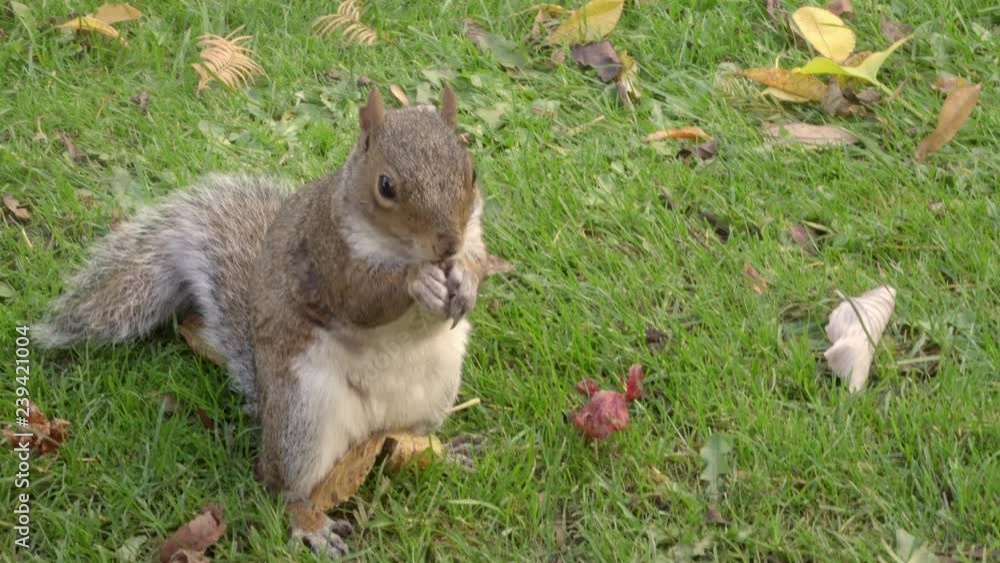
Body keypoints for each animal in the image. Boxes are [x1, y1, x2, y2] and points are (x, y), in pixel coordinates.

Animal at [37, 86, 500, 556]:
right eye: (386, 186)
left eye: (473, 172)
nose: (447, 245)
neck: (401, 248)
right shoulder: (327, 252)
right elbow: (361, 299)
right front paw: (417, 280)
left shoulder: (474, 232)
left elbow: (479, 260)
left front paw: (466, 279)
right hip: (303, 414)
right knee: (284, 487)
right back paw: (311, 524)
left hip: (434, 391)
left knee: (402, 441)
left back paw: (443, 452)